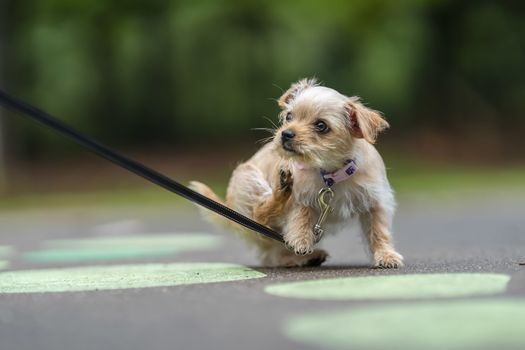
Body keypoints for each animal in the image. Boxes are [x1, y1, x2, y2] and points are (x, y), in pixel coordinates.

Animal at [190, 78, 404, 266]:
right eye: (289, 116)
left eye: (321, 126)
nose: (286, 133)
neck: (330, 174)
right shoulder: (301, 196)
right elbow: (301, 214)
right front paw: (301, 239)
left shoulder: (376, 201)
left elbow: (378, 231)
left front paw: (386, 255)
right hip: (247, 177)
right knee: (260, 215)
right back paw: (281, 190)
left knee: (272, 255)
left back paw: (304, 258)